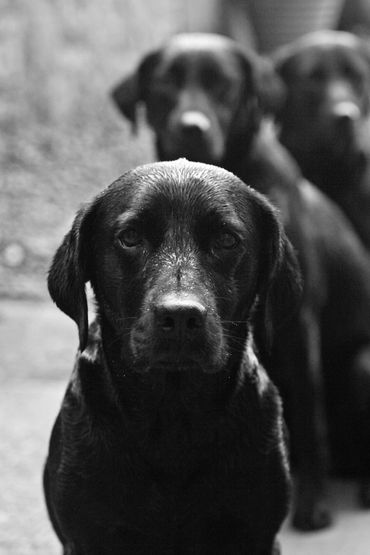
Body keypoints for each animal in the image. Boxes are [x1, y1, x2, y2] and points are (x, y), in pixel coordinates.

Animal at [44, 160, 298, 555]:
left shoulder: (257, 532)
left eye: (227, 240)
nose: (179, 316)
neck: (173, 420)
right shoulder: (87, 536)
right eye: (130, 237)